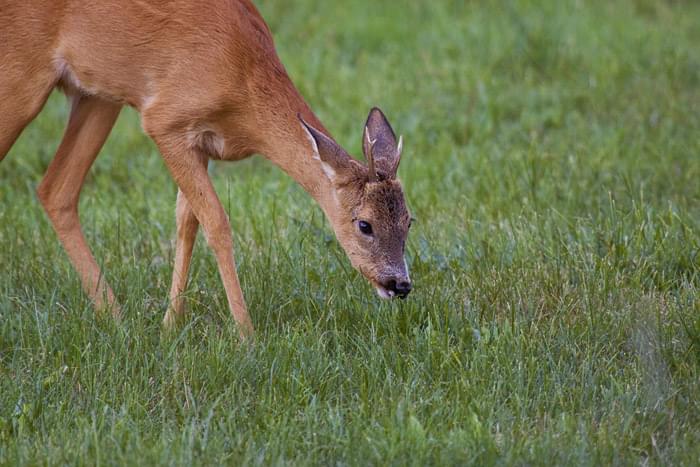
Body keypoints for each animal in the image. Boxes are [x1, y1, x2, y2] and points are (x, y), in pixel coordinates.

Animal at [0, 0, 412, 336]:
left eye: (409, 220)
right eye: (364, 224)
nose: (400, 284)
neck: (243, 81)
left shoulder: (202, 144)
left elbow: (187, 220)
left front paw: (168, 325)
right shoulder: (163, 121)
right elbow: (216, 220)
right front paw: (246, 334)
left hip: (98, 95)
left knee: (55, 189)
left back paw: (115, 316)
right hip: (23, 73)